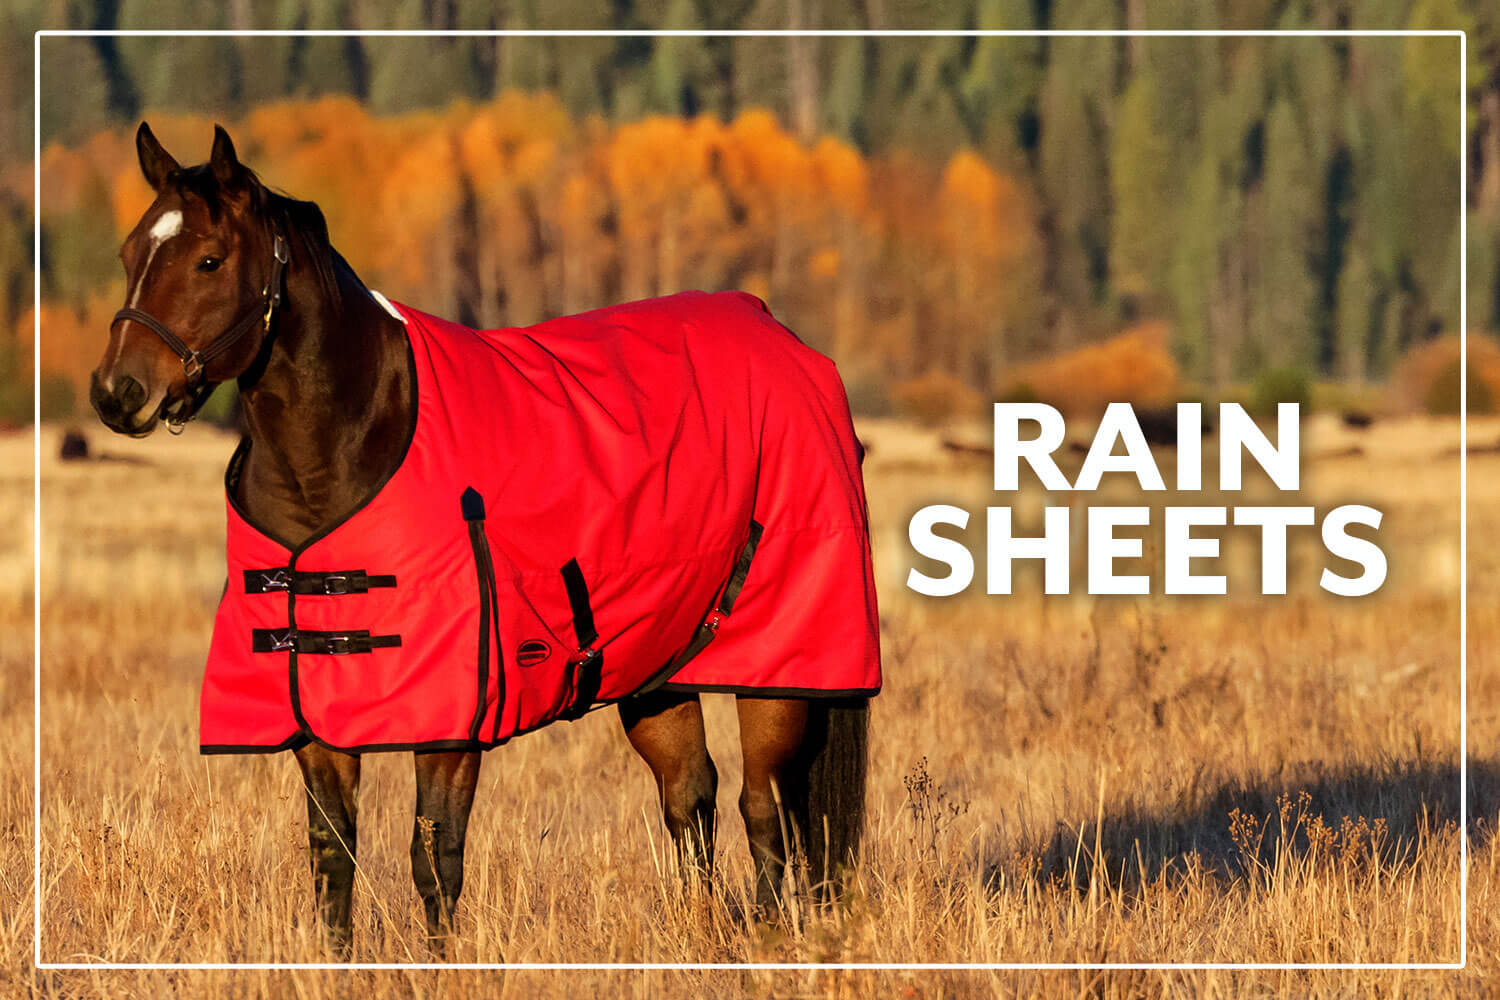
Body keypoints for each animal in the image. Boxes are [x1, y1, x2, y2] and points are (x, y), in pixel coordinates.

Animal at [89, 122, 876, 955]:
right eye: (131, 252)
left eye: (209, 259)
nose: (117, 393)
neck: (351, 449)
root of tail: (784, 338)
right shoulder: (315, 717)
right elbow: (332, 858)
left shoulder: (452, 724)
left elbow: (435, 859)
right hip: (658, 668)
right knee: (691, 798)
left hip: (778, 666)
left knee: (766, 808)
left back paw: (769, 940)